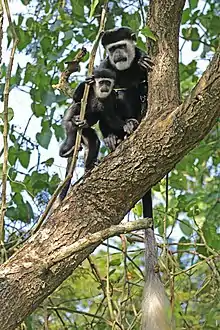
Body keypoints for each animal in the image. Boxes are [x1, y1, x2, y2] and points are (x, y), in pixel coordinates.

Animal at [96, 27, 172, 330]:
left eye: (122, 45)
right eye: (111, 48)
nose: (118, 54)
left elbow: (143, 74)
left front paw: (142, 64)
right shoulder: (105, 69)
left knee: (133, 92)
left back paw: (135, 119)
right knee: (114, 97)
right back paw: (116, 136)